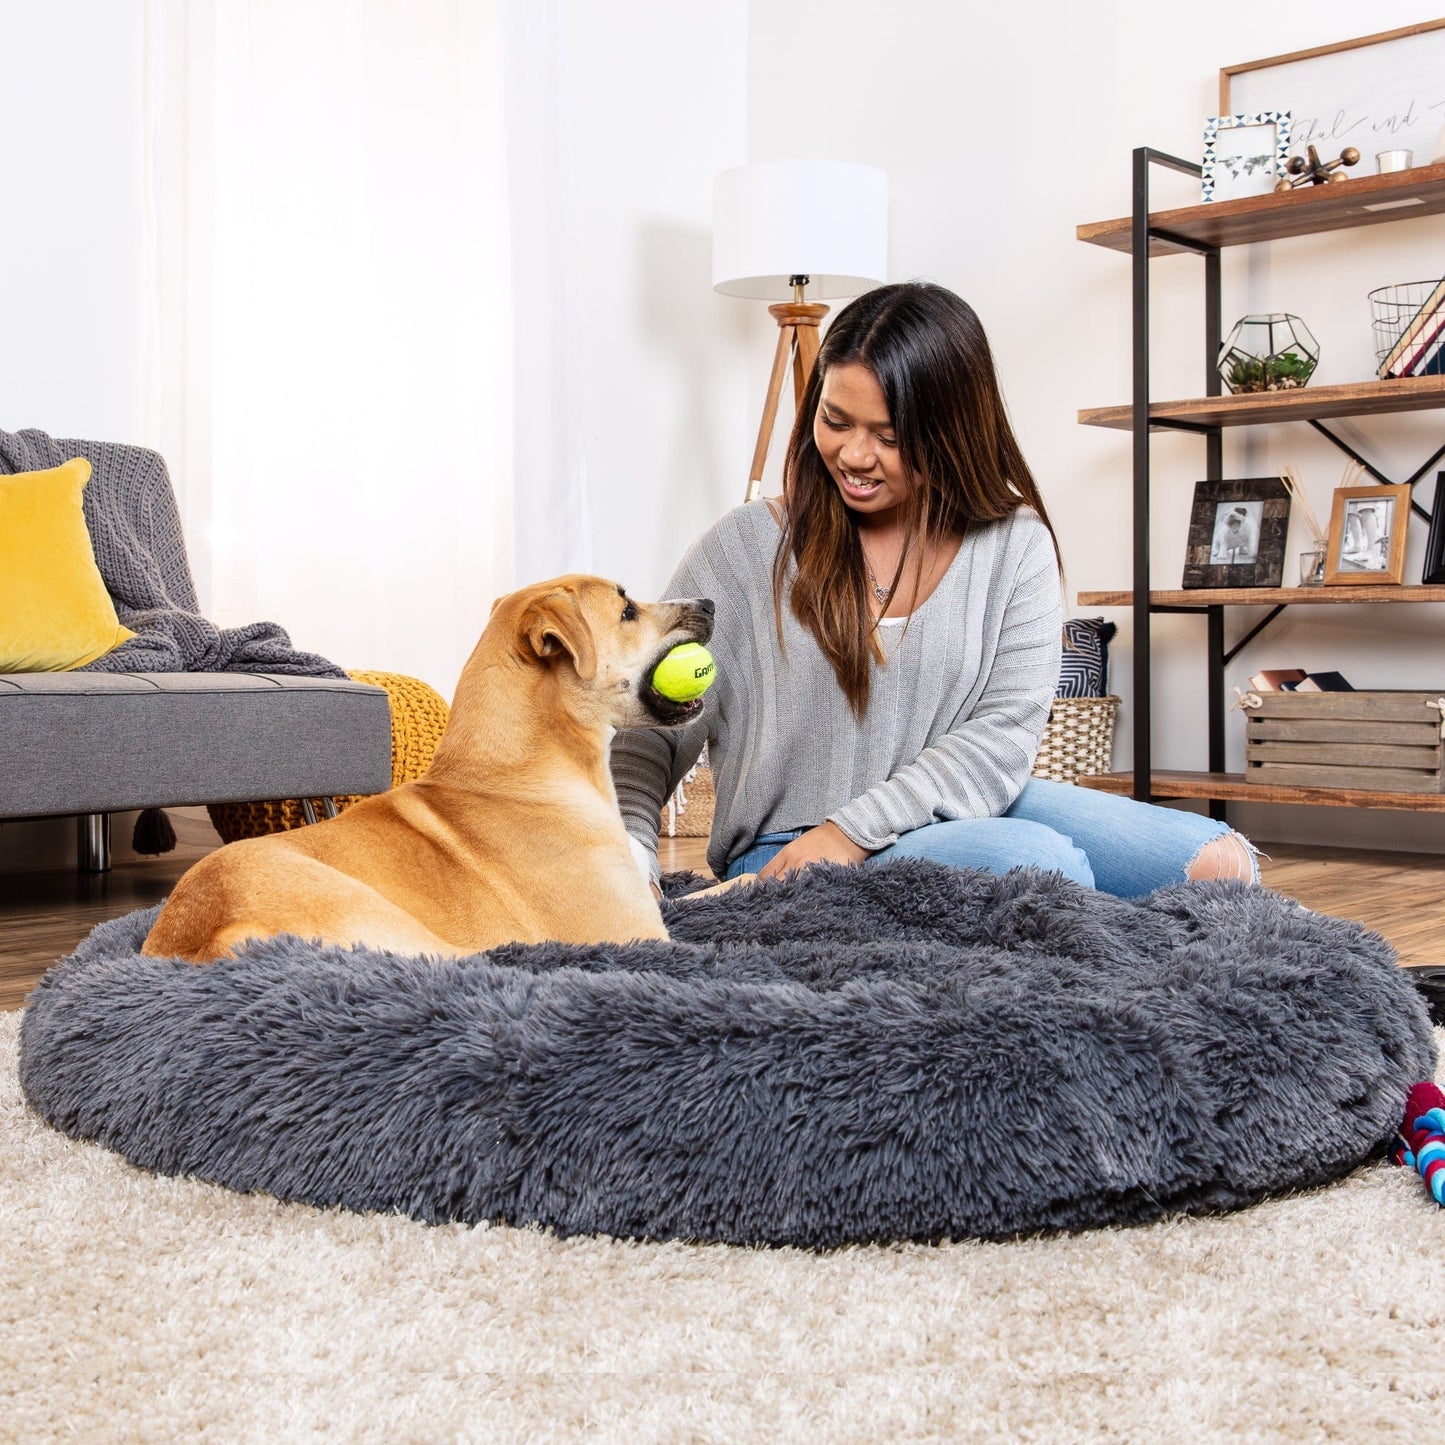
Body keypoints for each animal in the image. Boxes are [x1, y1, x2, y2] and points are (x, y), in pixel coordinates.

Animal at [140, 572, 716, 959]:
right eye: (627, 611)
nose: (710, 602)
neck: (515, 773)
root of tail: (207, 939)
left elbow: (701, 894)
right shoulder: (638, 931)